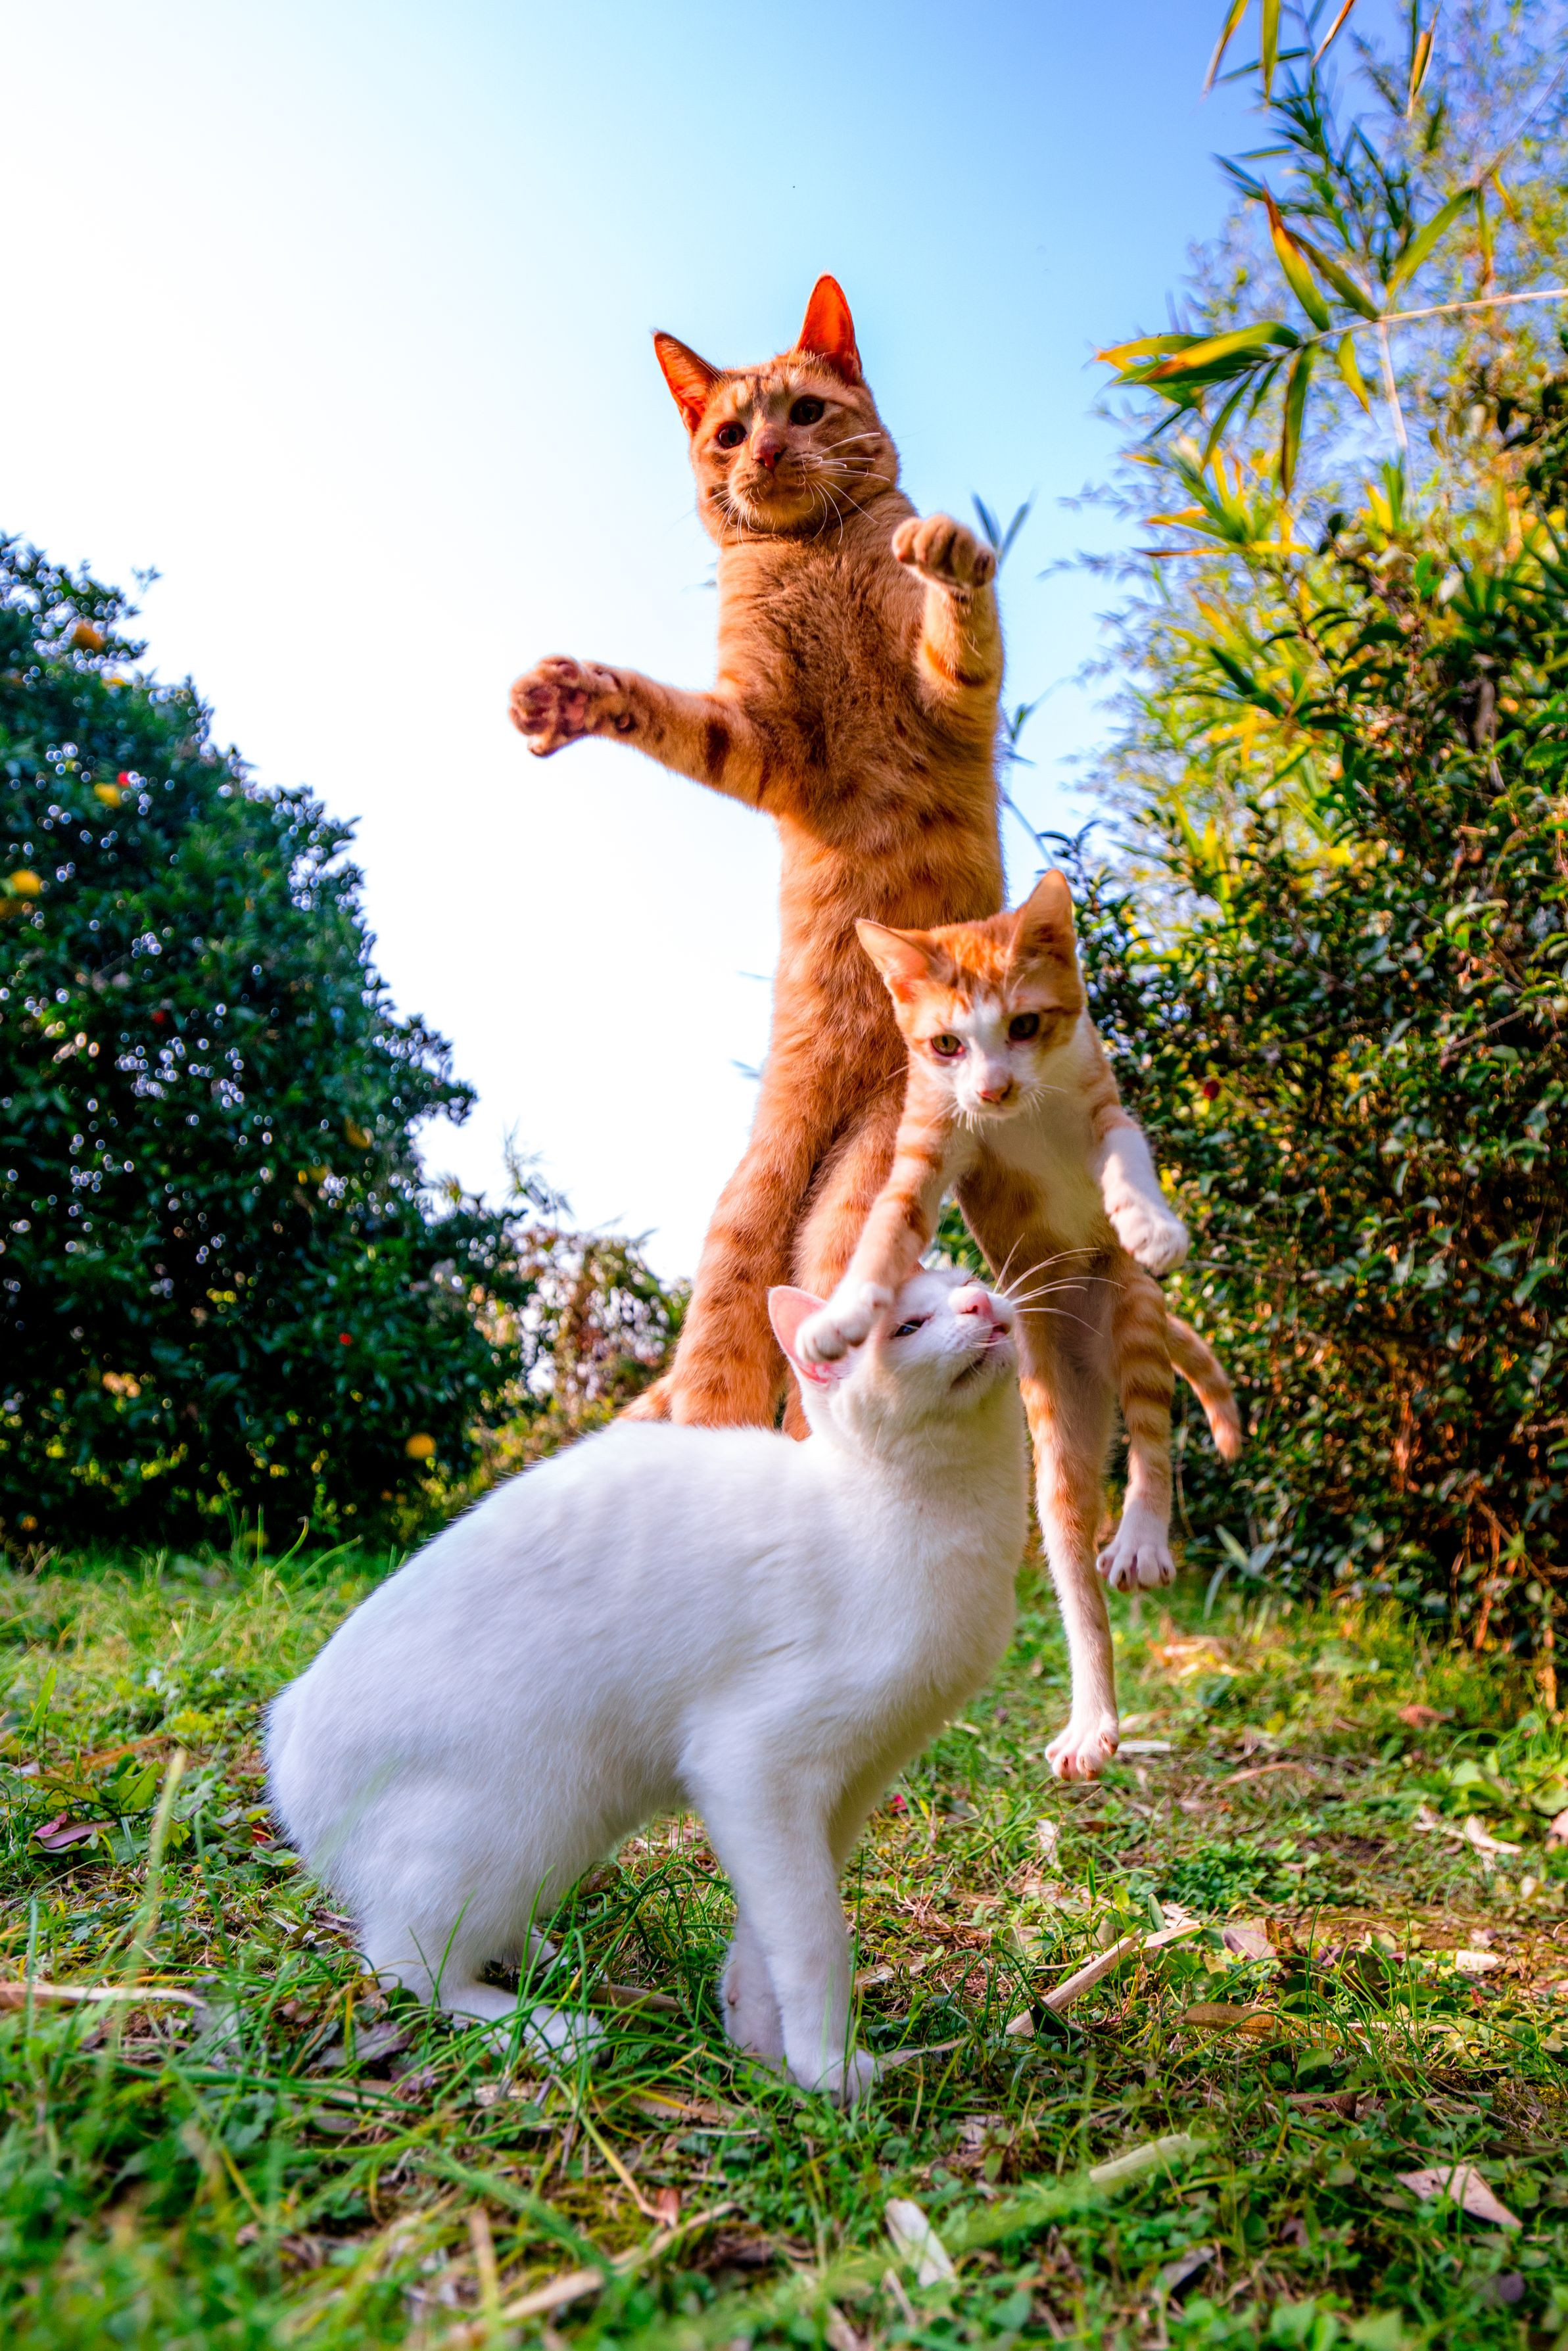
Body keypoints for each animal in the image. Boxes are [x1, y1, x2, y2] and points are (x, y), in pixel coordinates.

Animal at [265, 1266, 1028, 2102]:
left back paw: (544, 1960)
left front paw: (766, 2053)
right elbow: (815, 1935)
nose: (981, 1304)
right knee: (405, 1967)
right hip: (524, 1822)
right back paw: (549, 2029)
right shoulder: (752, 1765)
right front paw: (825, 2068)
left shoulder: (844, 1790)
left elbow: (772, 1931)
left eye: (966, 1280)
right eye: (907, 1327)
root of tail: (287, 1737)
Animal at [509, 275, 1006, 1434]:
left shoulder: (943, 697)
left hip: (863, 1190)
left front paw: (952, 560)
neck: (811, 554)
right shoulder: (762, 737)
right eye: (732, 433)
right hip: (742, 1240)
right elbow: (663, 712)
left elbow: (960, 634)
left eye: (806, 414)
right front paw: (573, 696)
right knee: (724, 1387)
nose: (770, 453)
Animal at [796, 871, 1241, 1781]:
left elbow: (1125, 1156)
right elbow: (885, 1230)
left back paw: (1143, 1534)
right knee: (1071, 1549)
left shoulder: (1105, 1108)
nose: (994, 1089)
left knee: (1152, 1437)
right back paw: (1094, 1723)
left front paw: (1149, 1218)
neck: (1023, 1113)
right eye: (946, 1045)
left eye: (1025, 1026)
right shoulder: (929, 1144)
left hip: (1129, 1308)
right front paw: (846, 1313)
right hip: (1053, 1412)